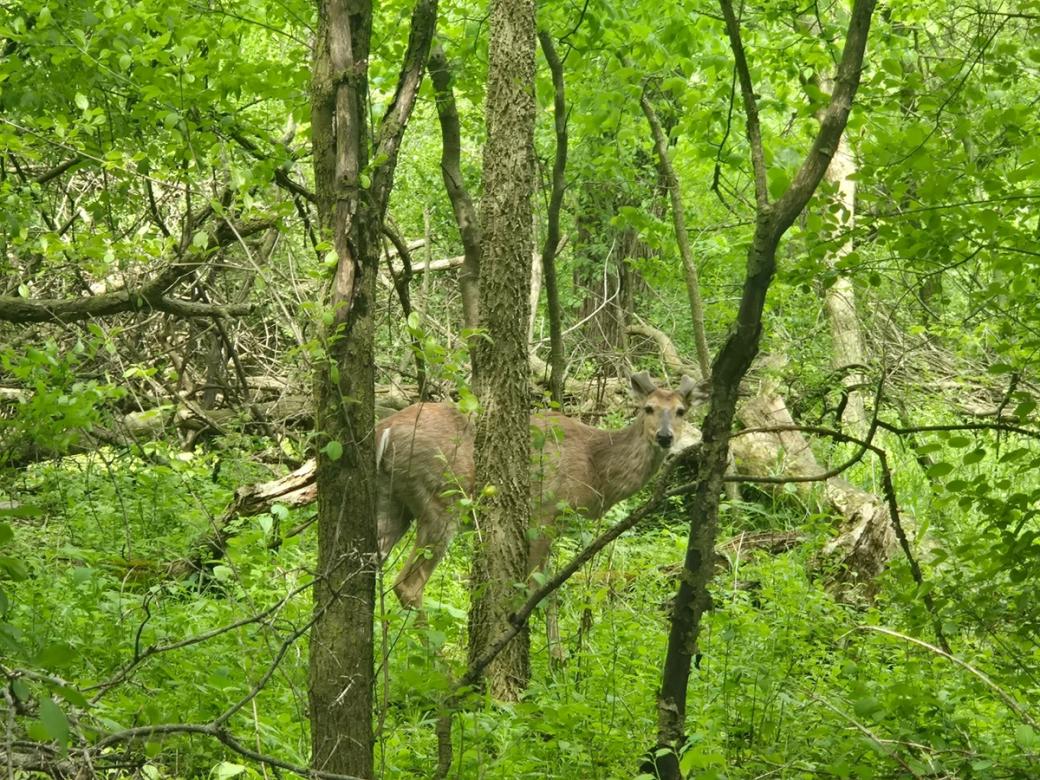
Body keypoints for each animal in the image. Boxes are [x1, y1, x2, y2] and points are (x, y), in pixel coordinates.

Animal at [375, 372, 707, 610]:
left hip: (392, 504)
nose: (665, 436)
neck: (596, 467)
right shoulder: (544, 514)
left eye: (681, 411)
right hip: (443, 500)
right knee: (408, 585)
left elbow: (547, 594)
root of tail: (383, 430)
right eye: (649, 408)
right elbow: (529, 592)